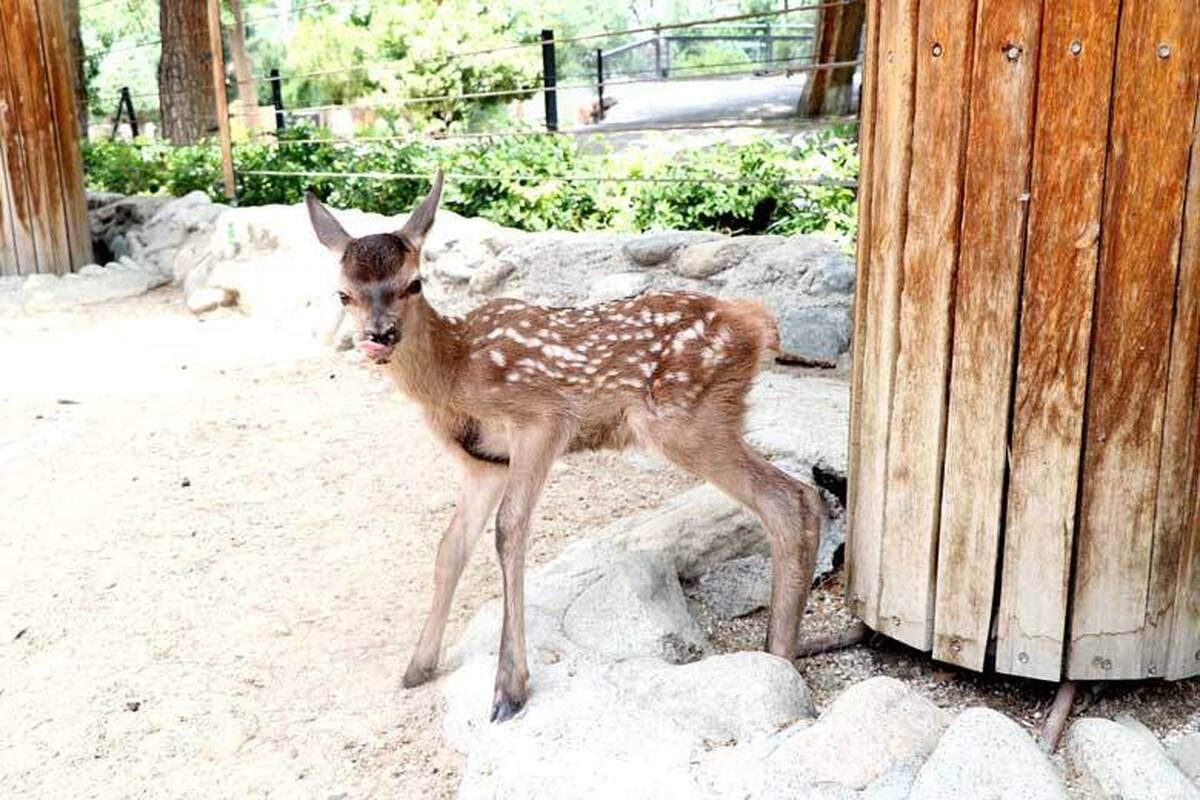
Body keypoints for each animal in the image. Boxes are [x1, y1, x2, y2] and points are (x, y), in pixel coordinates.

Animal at [307, 172, 825, 724]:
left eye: (415, 283)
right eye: (343, 294)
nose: (378, 335)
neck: (457, 374)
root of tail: (758, 321)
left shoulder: (543, 420)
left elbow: (509, 531)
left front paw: (509, 689)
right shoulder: (482, 463)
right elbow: (451, 547)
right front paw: (418, 666)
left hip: (686, 419)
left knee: (789, 498)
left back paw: (779, 658)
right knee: (798, 496)